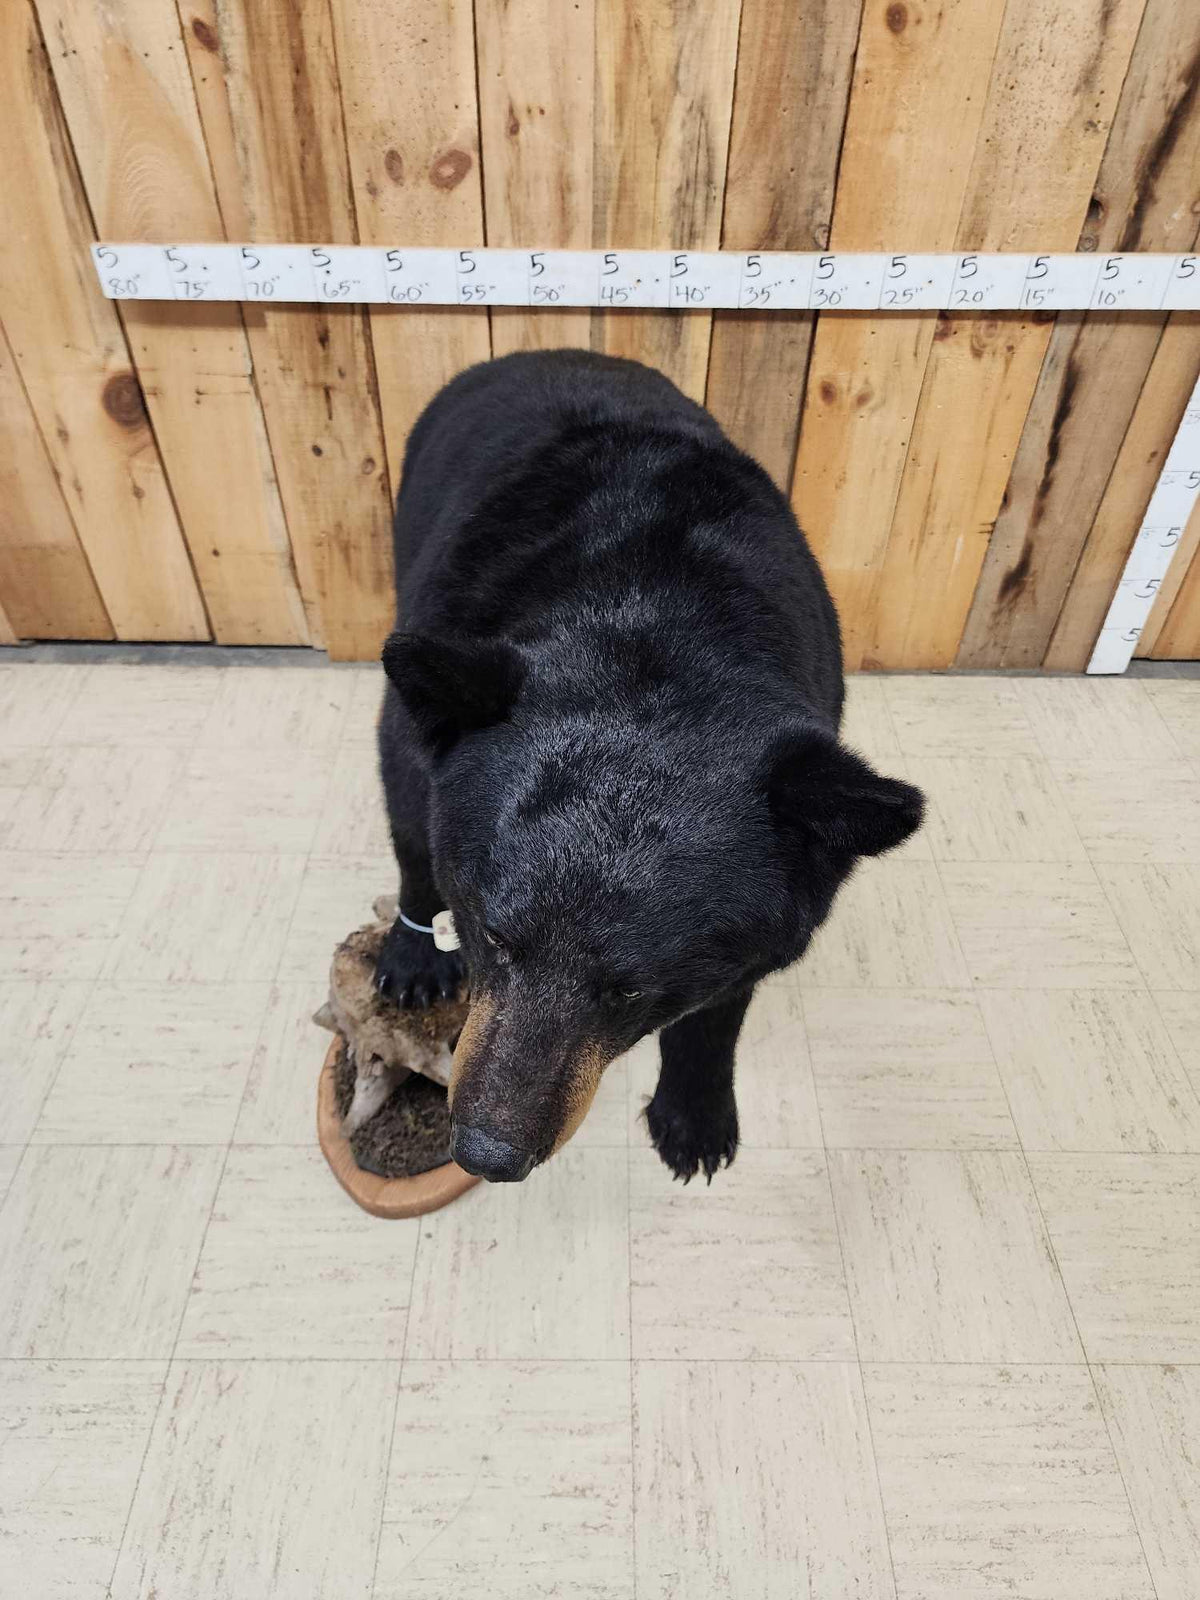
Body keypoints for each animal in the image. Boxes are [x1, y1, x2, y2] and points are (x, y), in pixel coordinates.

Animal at [374, 349, 923, 1184]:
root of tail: (540, 352)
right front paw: (416, 946)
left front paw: (694, 1114)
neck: (659, 614)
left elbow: (725, 998)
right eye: (493, 936)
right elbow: (411, 812)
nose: (487, 1152)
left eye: (633, 991)